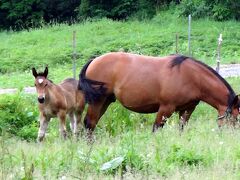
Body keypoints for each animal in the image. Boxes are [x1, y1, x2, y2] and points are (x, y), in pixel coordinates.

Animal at [78, 51, 238, 133]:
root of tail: (93, 61)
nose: (232, 134)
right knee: (89, 123)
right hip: (97, 101)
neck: (191, 76)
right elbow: (156, 129)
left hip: (105, 101)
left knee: (92, 123)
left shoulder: (187, 109)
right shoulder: (166, 108)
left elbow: (181, 129)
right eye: (236, 117)